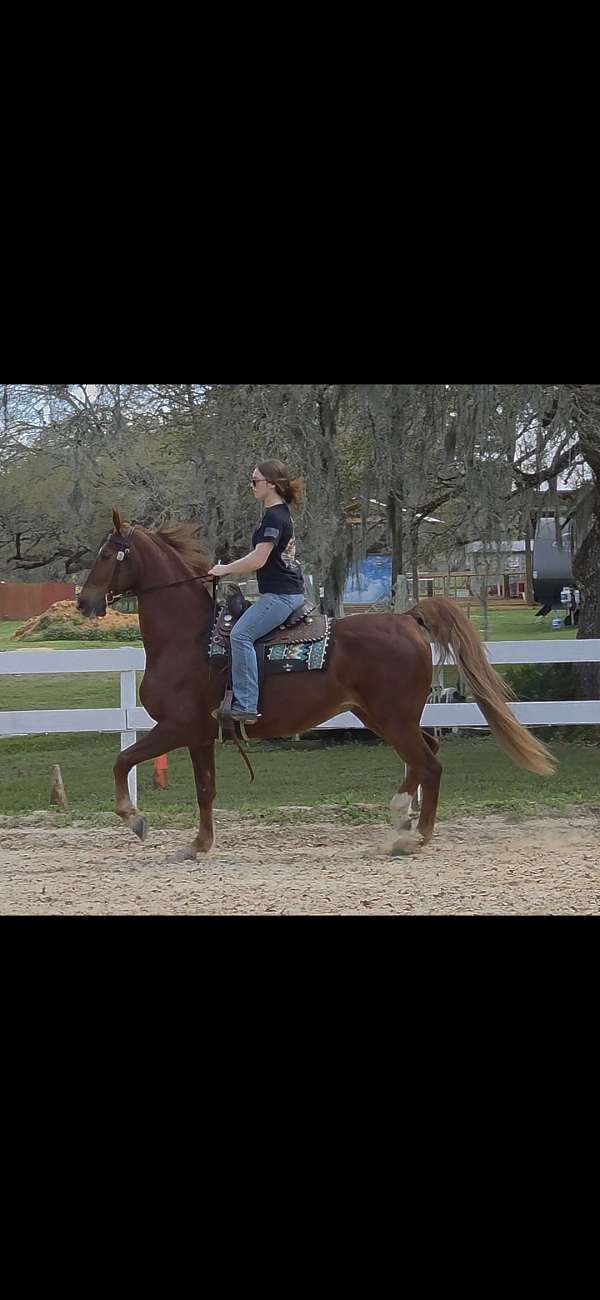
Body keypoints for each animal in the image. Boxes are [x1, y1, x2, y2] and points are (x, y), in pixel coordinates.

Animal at [77, 509, 555, 856]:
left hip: (392, 718)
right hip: (379, 716)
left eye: (107, 554)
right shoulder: (199, 735)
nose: (84, 602)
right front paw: (198, 845)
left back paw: (411, 831)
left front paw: (135, 819)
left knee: (428, 764)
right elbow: (205, 789)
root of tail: (407, 618)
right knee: (428, 755)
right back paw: (408, 825)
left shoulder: (176, 727)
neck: (189, 638)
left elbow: (122, 761)